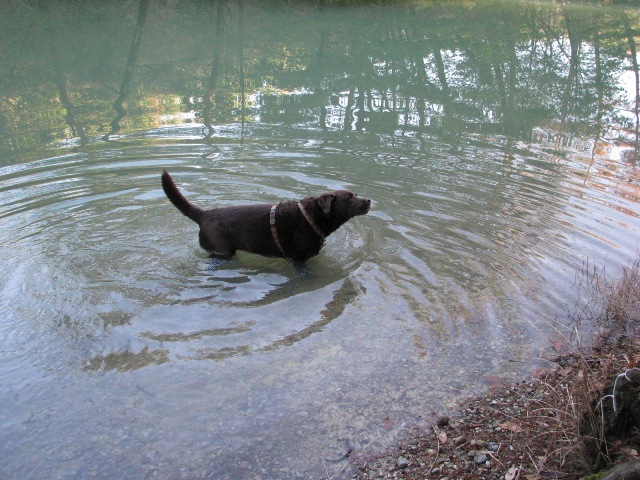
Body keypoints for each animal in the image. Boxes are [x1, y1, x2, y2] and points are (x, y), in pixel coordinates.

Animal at [161, 171, 370, 262]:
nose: (368, 200)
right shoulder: (298, 259)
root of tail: (205, 214)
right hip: (222, 251)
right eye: (349, 197)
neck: (311, 216)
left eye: (356, 194)